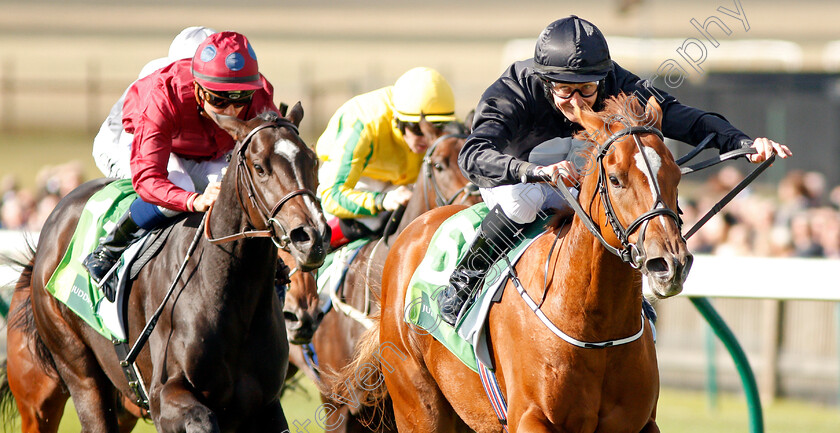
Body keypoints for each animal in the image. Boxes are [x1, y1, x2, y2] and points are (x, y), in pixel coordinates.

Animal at [0, 104, 330, 432]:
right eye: (260, 167)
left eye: (313, 161)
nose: (311, 237)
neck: (225, 292)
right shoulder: (165, 396)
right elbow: (202, 419)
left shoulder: (264, 405)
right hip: (68, 377)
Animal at [338, 95, 692, 432]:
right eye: (616, 179)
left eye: (676, 175)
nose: (669, 264)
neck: (597, 327)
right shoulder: (530, 417)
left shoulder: (639, 423)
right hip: (418, 405)